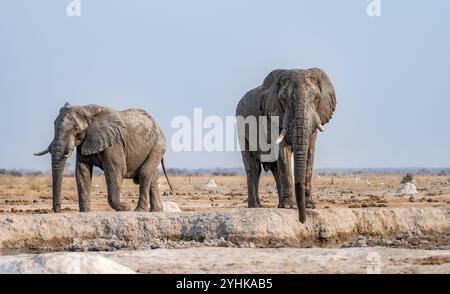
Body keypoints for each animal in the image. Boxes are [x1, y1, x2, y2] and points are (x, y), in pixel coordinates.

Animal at [34, 103, 172, 214]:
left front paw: (126, 208)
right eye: (54, 125)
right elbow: (82, 171)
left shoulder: (114, 143)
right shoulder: (85, 141)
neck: (87, 110)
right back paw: (156, 211)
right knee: (152, 177)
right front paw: (85, 212)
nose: (58, 210)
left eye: (76, 129)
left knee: (144, 173)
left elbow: (117, 170)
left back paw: (138, 211)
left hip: (158, 145)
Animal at [237, 68, 336, 222]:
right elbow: (283, 152)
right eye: (283, 100)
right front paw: (289, 207)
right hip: (242, 129)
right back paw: (256, 207)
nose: (302, 220)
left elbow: (309, 153)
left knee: (274, 168)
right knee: (253, 166)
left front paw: (309, 206)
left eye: (316, 98)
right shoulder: (273, 115)